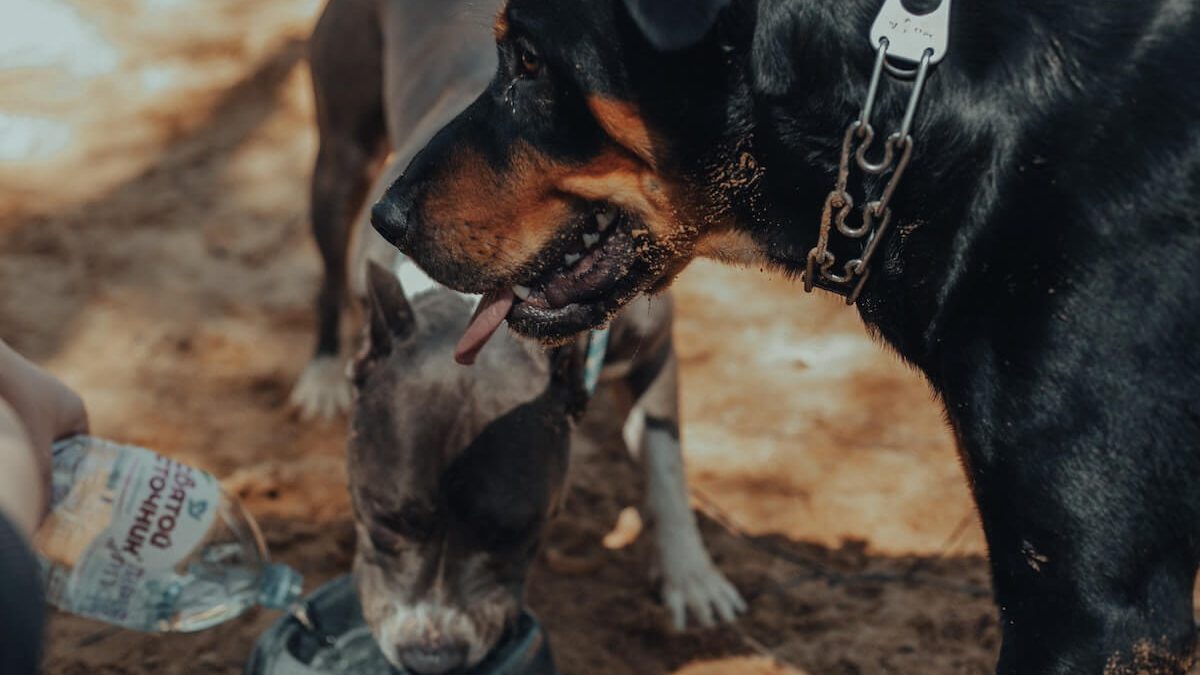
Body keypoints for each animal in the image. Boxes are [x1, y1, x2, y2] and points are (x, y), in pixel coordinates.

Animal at [348, 260, 744, 667]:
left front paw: (690, 575)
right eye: (385, 523)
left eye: (512, 535)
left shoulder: (653, 348)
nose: (431, 657)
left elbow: (665, 464)